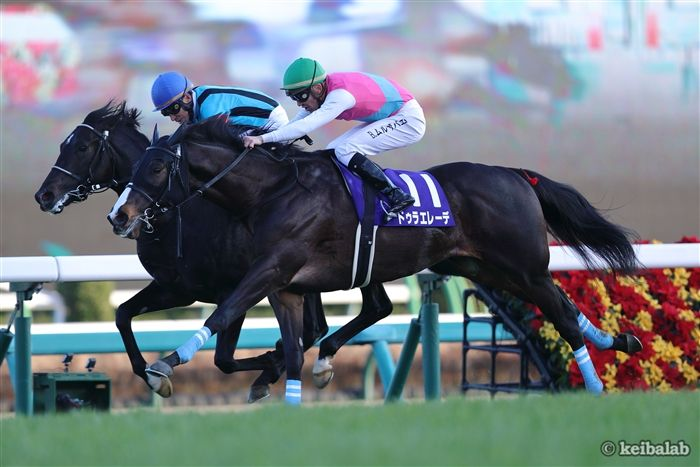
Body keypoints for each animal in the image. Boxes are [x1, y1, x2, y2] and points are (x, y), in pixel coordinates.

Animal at [34, 101, 331, 402]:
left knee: (312, 329)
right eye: (63, 144)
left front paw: (269, 364)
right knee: (316, 328)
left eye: (82, 147)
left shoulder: (230, 287)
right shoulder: (177, 288)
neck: (177, 215)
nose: (44, 195)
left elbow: (224, 358)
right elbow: (122, 315)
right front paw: (154, 379)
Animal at [108, 116, 642, 402]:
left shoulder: (269, 269)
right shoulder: (284, 284)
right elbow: (290, 347)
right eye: (134, 167)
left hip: (522, 265)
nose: (120, 215)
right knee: (561, 307)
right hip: (477, 266)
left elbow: (222, 315)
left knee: (560, 313)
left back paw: (596, 383)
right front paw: (281, 375)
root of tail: (513, 173)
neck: (272, 191)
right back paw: (619, 341)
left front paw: (165, 365)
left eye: (156, 168)